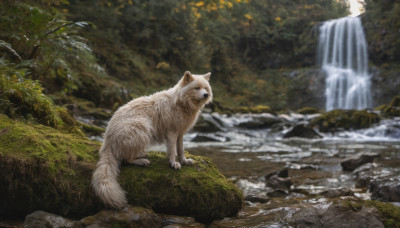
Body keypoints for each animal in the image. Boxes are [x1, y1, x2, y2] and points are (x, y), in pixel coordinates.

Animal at [92, 71, 214, 208]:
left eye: (205, 88)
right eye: (197, 88)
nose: (206, 95)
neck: (181, 102)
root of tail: (107, 142)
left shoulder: (180, 133)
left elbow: (181, 150)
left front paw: (184, 161)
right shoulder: (172, 133)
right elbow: (172, 152)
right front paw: (173, 164)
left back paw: (141, 155)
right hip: (143, 128)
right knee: (126, 159)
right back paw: (142, 161)